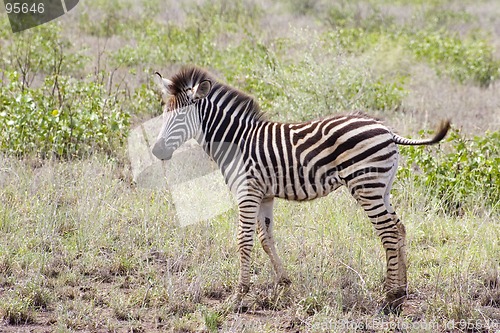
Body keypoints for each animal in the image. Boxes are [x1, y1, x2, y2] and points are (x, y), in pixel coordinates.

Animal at [150, 66, 452, 312]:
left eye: (180, 117)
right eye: (164, 115)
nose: (156, 151)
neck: (235, 141)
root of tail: (387, 130)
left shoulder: (247, 193)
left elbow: (244, 241)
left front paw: (239, 296)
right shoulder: (265, 195)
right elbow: (266, 239)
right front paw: (283, 284)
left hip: (366, 186)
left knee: (388, 232)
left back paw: (389, 297)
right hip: (382, 187)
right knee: (399, 228)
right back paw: (402, 291)